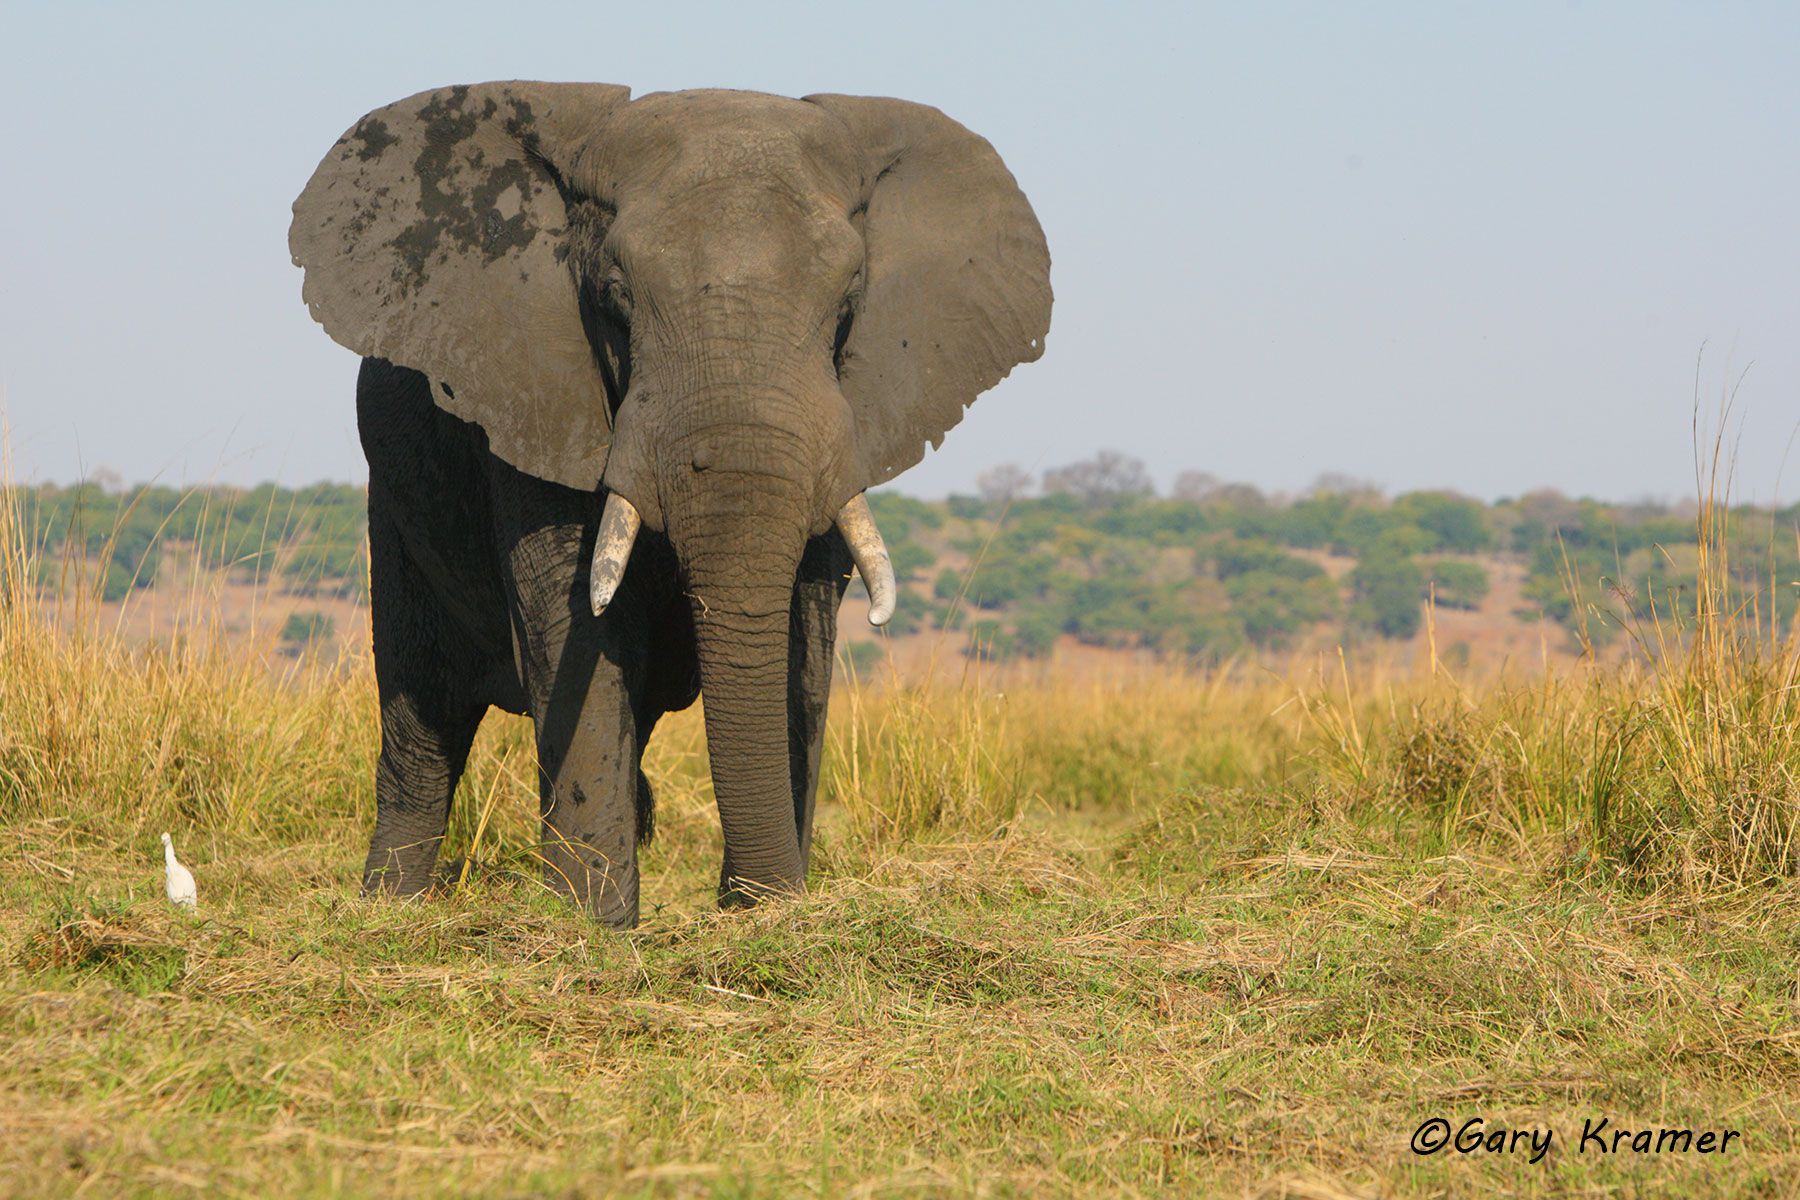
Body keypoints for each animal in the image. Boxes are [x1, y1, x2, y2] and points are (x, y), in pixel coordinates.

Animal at [290, 82, 1051, 927]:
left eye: (849, 298)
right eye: (616, 295)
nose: (760, 900)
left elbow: (803, 638)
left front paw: (768, 910)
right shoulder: (536, 388)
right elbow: (577, 623)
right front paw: (593, 924)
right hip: (394, 498)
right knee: (425, 711)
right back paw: (389, 909)